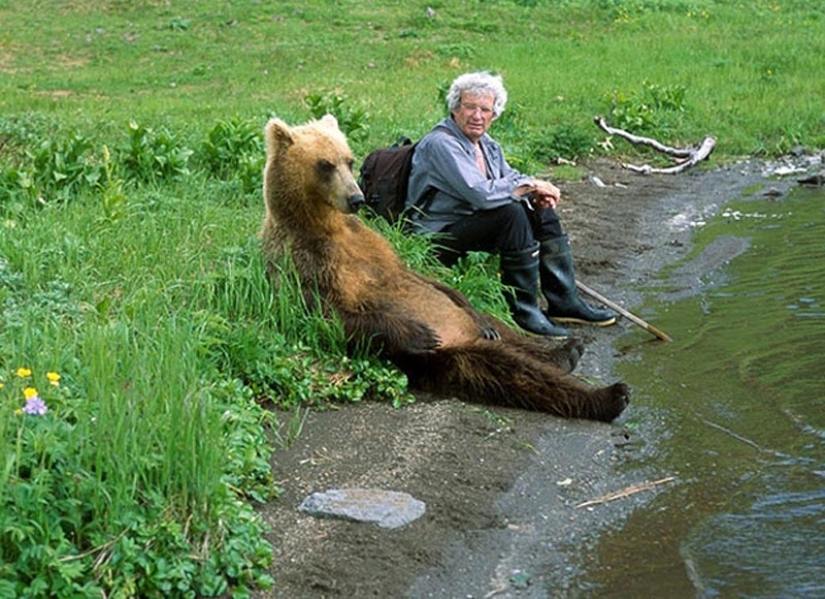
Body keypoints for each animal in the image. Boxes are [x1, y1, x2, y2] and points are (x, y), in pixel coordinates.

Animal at [260, 115, 629, 422]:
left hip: (470, 327)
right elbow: (326, 316)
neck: (326, 226)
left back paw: (563, 350)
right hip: (452, 358)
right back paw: (609, 395)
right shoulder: (304, 261)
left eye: (348, 160)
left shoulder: (372, 245)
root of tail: (467, 338)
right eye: (325, 164)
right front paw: (419, 332)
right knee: (512, 372)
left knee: (506, 330)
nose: (356, 198)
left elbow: (416, 276)